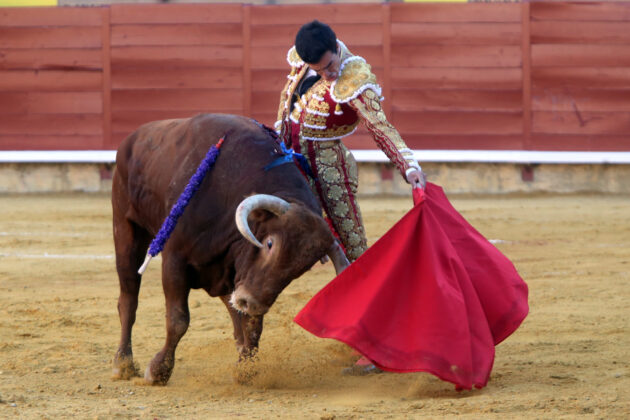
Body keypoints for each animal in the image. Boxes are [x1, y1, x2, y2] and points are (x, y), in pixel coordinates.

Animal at [113, 114, 350, 384]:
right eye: (270, 243)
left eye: (301, 269)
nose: (250, 301)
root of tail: (134, 137)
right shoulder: (175, 259)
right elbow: (178, 319)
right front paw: (158, 371)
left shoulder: (240, 275)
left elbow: (251, 325)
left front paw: (246, 369)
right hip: (125, 227)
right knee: (129, 297)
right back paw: (123, 363)